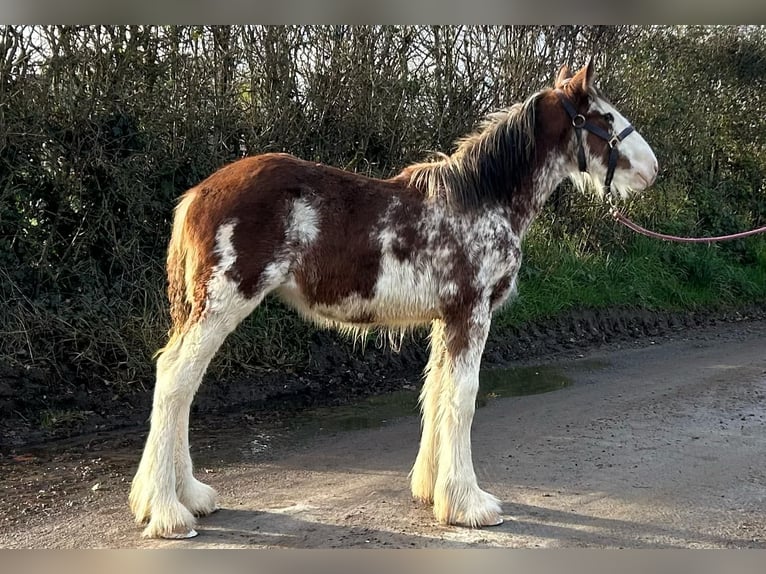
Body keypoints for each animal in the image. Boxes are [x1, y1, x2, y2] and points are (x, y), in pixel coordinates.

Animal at [127, 59, 660, 540]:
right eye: (604, 117)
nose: (653, 169)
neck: (483, 200)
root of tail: (199, 193)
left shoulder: (446, 319)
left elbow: (437, 393)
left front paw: (433, 491)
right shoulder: (471, 314)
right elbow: (464, 400)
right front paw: (470, 505)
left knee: (183, 386)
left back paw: (188, 497)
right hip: (222, 303)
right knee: (175, 380)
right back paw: (169, 513)